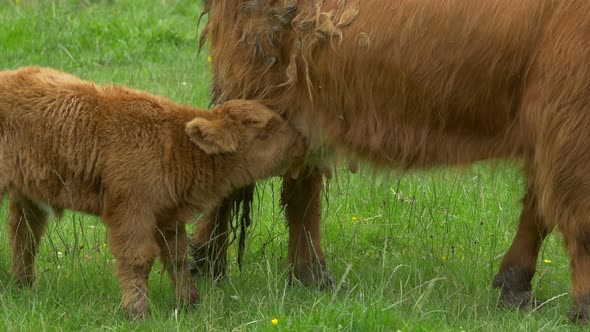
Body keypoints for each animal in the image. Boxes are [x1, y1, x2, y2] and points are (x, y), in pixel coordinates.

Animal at [0, 66, 308, 318]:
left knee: (24, 234)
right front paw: (138, 311)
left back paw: (24, 285)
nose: (302, 140)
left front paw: (190, 303)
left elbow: (177, 259)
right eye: (263, 129)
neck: (174, 140)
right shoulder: (132, 212)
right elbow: (138, 259)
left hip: (27, 196)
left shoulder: (169, 217)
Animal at [193, 0, 590, 322]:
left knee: (300, 189)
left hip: (305, 106)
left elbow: (538, 212)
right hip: (258, 85)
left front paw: (515, 287)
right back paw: (205, 264)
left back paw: (310, 275)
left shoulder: (553, 124)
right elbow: (580, 219)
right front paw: (582, 307)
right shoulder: (569, 117)